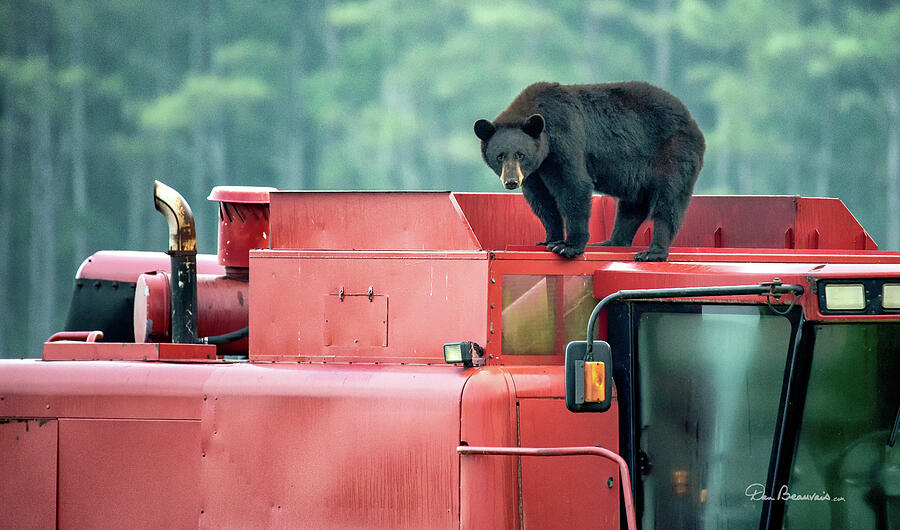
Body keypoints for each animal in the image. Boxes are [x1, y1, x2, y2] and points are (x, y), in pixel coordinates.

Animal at [474, 81, 705, 261]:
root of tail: (692, 121)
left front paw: (568, 246)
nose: (511, 181)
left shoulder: (564, 141)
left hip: (672, 153)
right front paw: (549, 239)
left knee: (668, 202)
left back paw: (653, 252)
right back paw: (611, 242)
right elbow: (541, 201)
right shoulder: (536, 171)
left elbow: (573, 186)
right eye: (500, 156)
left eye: (520, 154)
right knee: (632, 206)